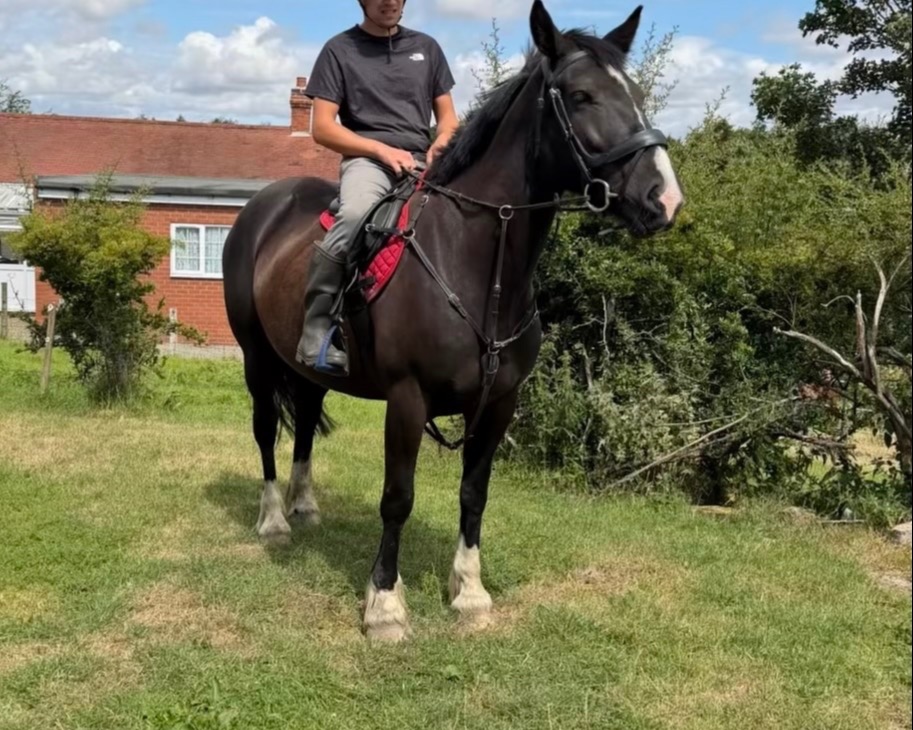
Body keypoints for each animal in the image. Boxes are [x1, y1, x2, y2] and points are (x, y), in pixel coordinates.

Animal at [222, 1, 683, 641]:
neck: (473, 262)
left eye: (634, 93)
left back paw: (305, 506)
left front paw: (469, 592)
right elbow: (398, 497)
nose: (663, 199)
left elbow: (474, 494)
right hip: (257, 360)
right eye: (581, 95)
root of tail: (262, 208)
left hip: (308, 369)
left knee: (307, 424)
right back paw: (274, 522)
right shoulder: (406, 399)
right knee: (267, 431)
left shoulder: (499, 404)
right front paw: (385, 605)